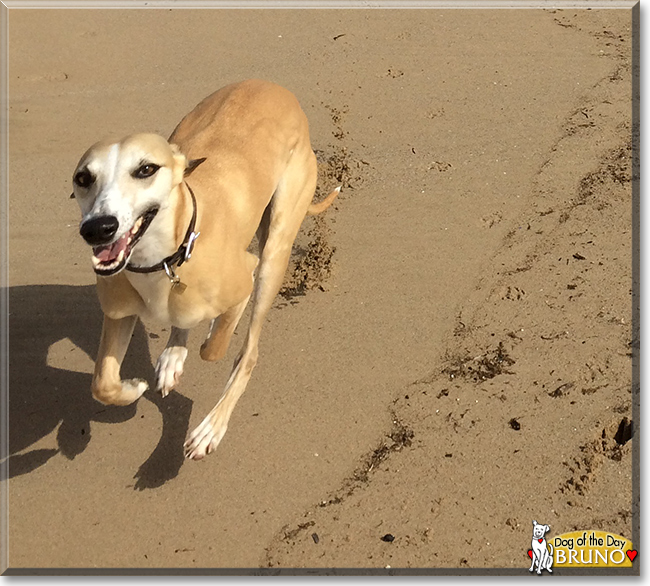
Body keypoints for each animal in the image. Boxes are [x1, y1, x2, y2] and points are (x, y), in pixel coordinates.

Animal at [72, 80, 340, 458]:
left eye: (145, 169)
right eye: (83, 178)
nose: (98, 228)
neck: (163, 260)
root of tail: (274, 87)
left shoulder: (245, 274)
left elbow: (214, 349)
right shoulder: (118, 312)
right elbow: (102, 383)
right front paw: (135, 385)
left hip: (275, 249)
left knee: (248, 353)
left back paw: (211, 427)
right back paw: (173, 356)